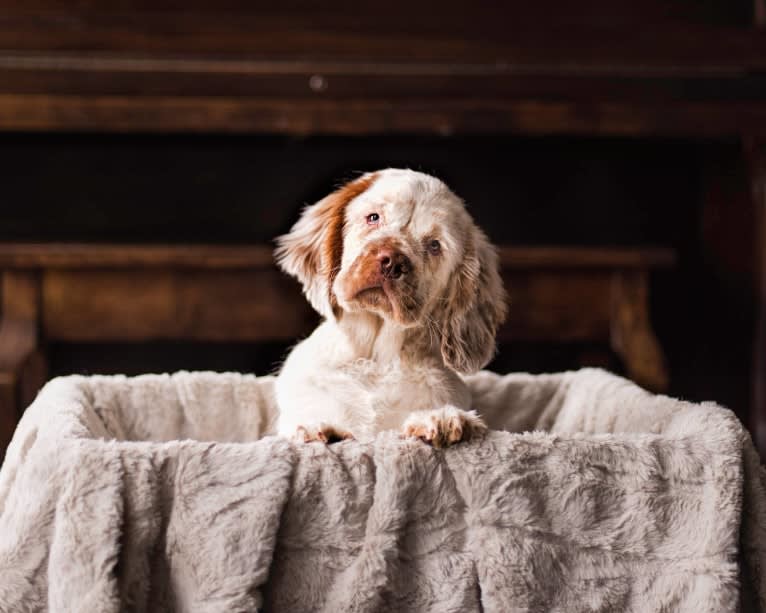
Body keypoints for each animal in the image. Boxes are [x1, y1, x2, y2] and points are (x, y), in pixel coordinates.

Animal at [272, 170, 508, 448]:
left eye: (434, 245)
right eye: (373, 217)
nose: (392, 261)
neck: (377, 359)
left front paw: (440, 419)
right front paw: (316, 427)